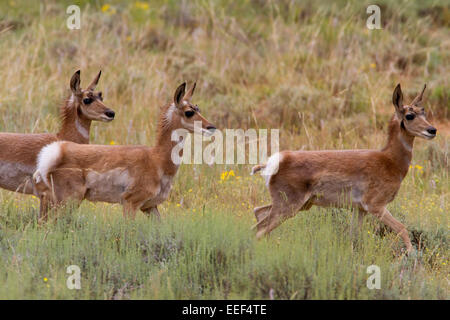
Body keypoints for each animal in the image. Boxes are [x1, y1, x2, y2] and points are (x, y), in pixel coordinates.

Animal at [32, 82, 215, 221]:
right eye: (189, 112)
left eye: (198, 108)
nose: (211, 127)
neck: (156, 159)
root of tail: (55, 152)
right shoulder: (130, 203)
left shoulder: (150, 207)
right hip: (67, 202)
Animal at [251, 84, 434, 252]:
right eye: (409, 115)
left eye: (423, 111)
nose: (432, 130)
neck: (389, 160)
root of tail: (273, 161)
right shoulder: (376, 206)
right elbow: (403, 229)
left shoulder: (360, 209)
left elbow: (355, 237)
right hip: (289, 206)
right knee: (259, 229)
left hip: (298, 205)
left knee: (258, 213)